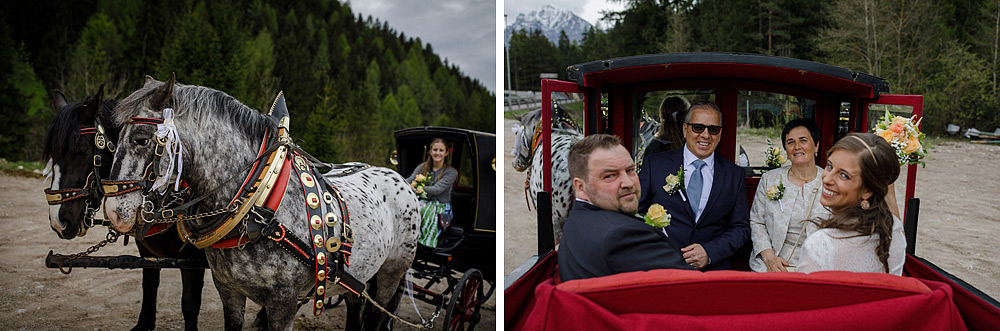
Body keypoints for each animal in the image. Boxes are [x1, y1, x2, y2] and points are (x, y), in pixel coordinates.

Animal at [105, 76, 422, 330]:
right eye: (113, 137)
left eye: (141, 139)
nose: (113, 212)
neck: (259, 208)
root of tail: (402, 178)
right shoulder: (228, 290)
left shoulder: (284, 303)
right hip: (358, 274)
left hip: (392, 272)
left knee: (379, 314)